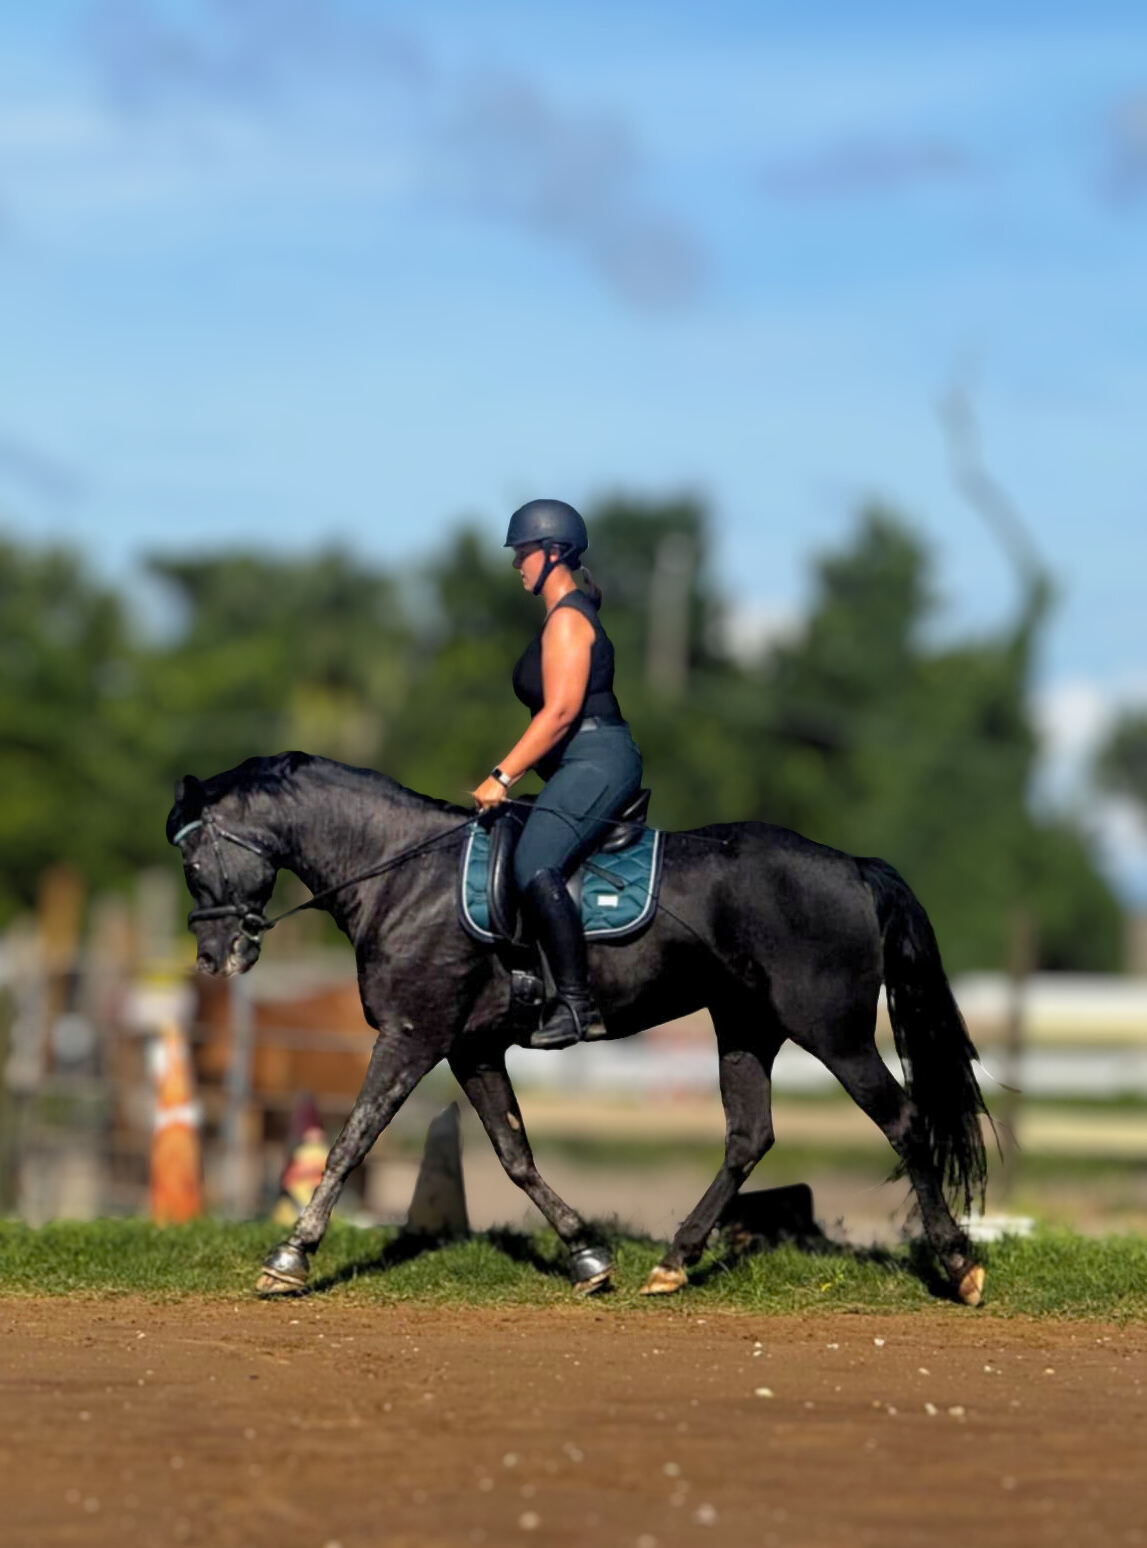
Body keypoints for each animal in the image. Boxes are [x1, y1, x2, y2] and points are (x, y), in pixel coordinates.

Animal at [167, 750, 989, 1305]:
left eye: (195, 860)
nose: (213, 956)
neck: (402, 875)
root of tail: (852, 865)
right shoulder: (472, 1049)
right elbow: (515, 1156)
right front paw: (587, 1255)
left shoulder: (412, 1036)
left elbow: (349, 1142)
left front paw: (289, 1257)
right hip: (744, 1027)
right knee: (748, 1136)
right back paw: (674, 1260)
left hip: (833, 1034)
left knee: (903, 1122)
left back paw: (958, 1264)